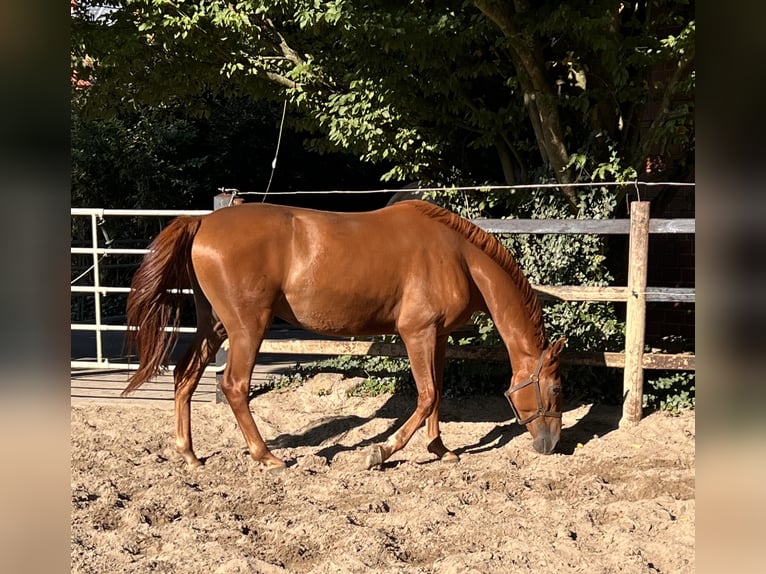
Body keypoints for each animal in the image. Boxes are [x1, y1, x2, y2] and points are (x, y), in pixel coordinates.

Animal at [124, 200, 564, 470]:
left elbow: (437, 394)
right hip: (247, 328)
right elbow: (427, 396)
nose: (551, 445)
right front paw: (380, 452)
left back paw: (190, 455)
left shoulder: (436, 337)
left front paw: (440, 449)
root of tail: (202, 222)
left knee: (185, 374)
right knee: (234, 385)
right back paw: (266, 456)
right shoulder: (416, 333)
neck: (457, 256)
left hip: (213, 325)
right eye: (557, 388)